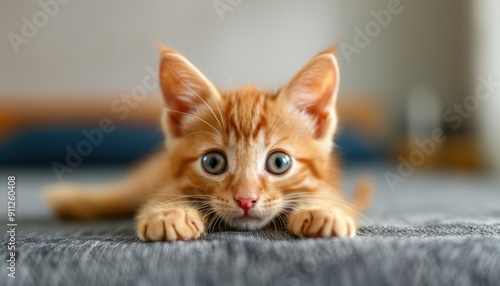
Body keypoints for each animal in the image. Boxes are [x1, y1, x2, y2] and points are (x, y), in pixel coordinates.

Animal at [44, 46, 372, 241]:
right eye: (213, 162)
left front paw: (324, 212)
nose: (246, 200)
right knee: (121, 195)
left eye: (279, 162)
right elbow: (166, 193)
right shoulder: (170, 180)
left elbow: (327, 194)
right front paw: (169, 213)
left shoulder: (328, 180)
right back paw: (69, 199)